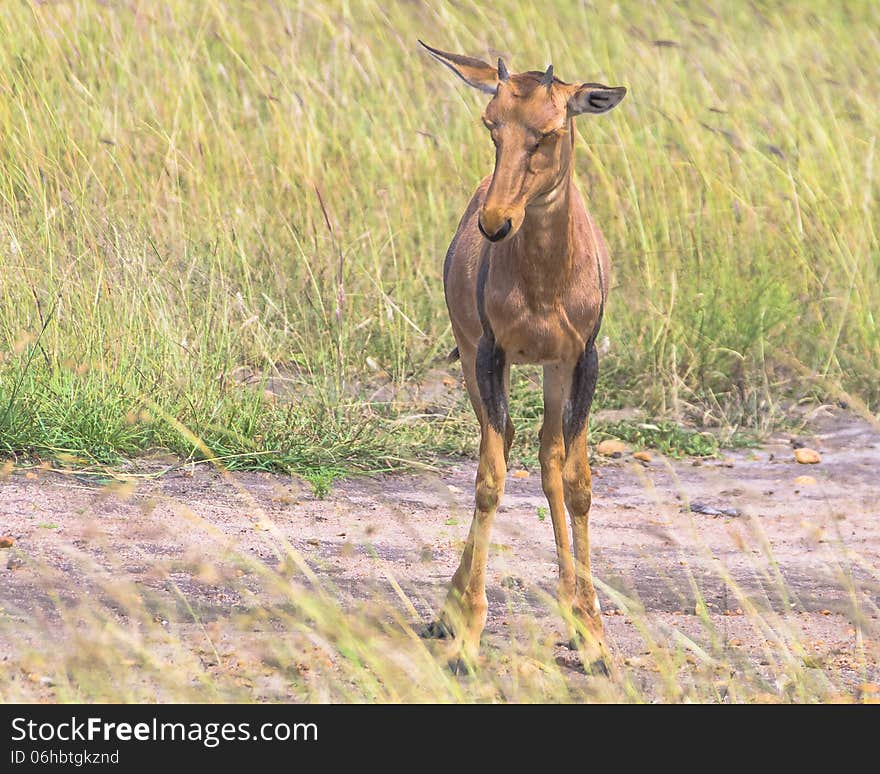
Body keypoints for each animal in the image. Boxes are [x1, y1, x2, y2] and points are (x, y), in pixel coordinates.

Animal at [420, 41, 624, 672]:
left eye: (549, 131)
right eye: (492, 125)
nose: (495, 222)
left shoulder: (583, 360)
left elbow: (579, 484)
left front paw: (595, 639)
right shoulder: (490, 353)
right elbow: (488, 480)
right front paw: (466, 638)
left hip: (551, 373)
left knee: (548, 456)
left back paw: (574, 614)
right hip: (473, 360)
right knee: (504, 442)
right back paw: (447, 613)